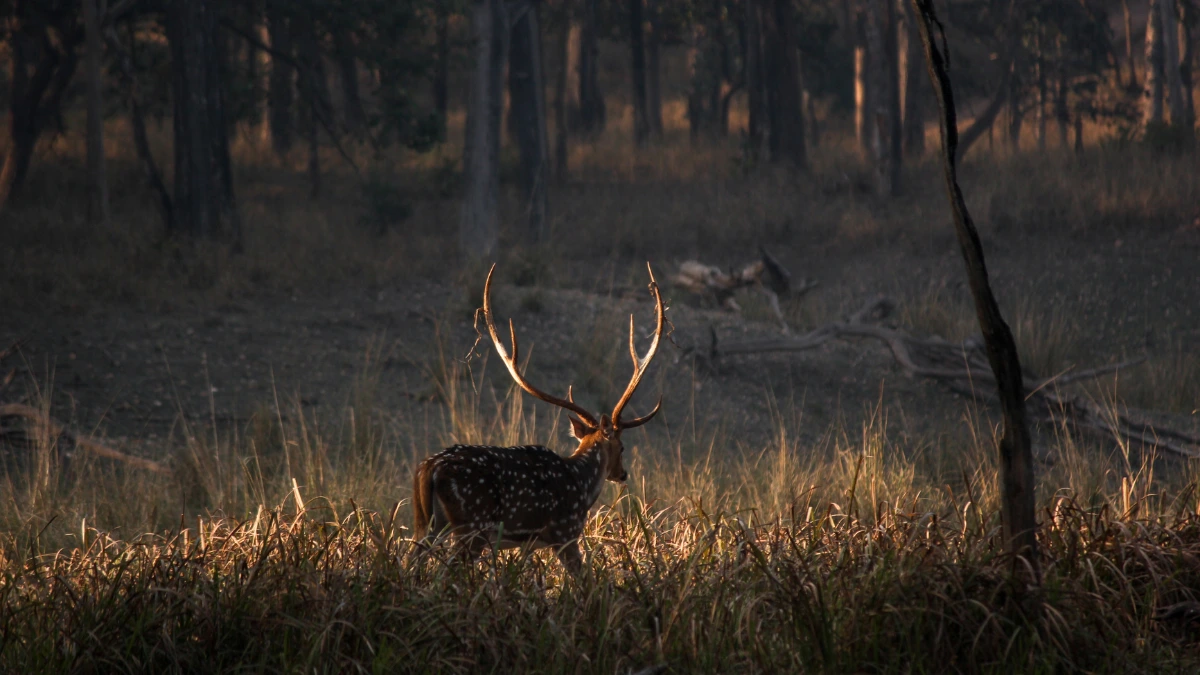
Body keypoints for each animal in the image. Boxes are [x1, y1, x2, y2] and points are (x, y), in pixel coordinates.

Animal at [412, 261, 667, 566]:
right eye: (622, 446)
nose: (623, 473)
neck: (581, 485)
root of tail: (429, 469)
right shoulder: (564, 531)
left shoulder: (530, 544)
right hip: (472, 526)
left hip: (425, 523)